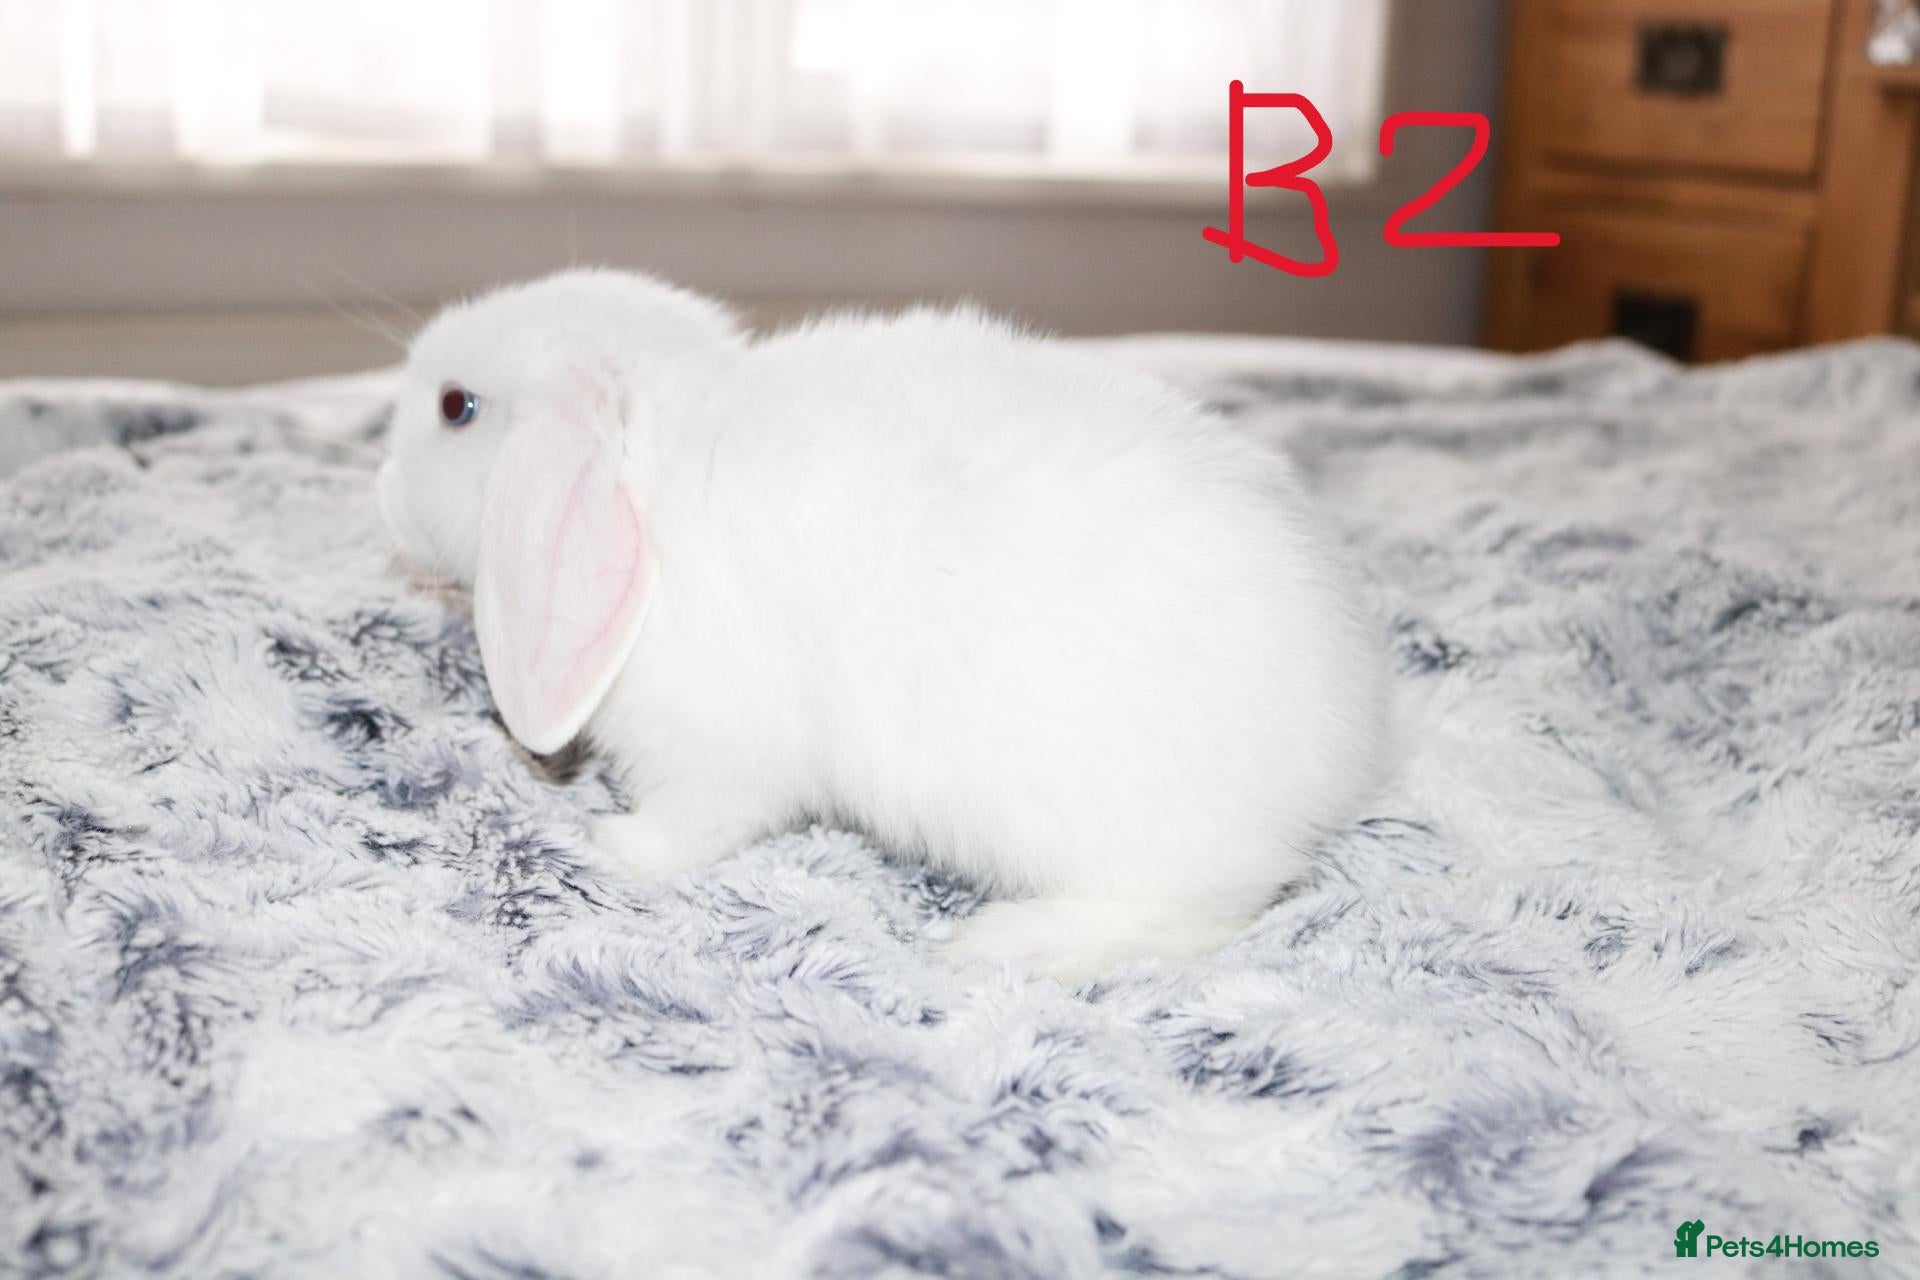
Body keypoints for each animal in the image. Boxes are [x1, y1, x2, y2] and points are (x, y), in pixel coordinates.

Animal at [379, 268, 1388, 982]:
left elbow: (698, 823)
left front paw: (612, 845)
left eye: (455, 406)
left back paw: (1007, 946)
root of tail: (1348, 739)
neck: (653, 474)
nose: (382, 473)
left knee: (1199, 913)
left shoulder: (715, 751)